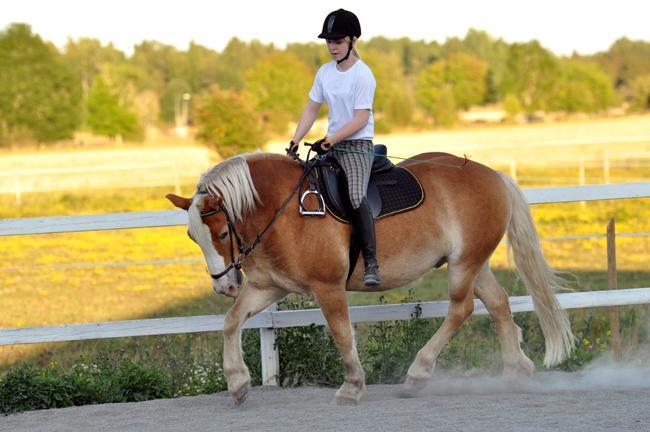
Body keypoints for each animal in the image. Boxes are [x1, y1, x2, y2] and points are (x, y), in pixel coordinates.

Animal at [166, 151, 572, 404]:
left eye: (222, 233)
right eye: (192, 236)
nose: (223, 285)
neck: (285, 209)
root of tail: (494, 175)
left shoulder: (327, 287)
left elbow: (342, 334)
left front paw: (352, 388)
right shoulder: (269, 287)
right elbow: (232, 321)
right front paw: (237, 383)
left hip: (464, 265)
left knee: (462, 309)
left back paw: (418, 374)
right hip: (474, 262)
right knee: (498, 303)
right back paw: (515, 369)